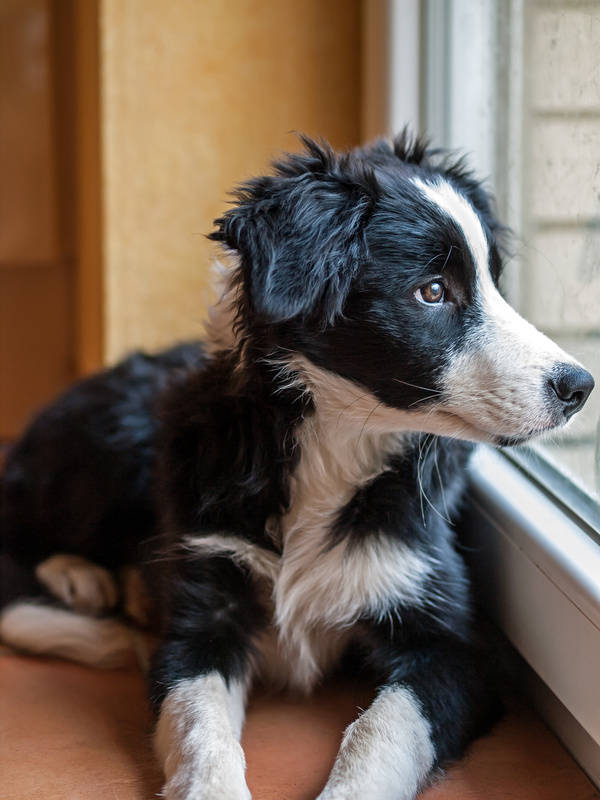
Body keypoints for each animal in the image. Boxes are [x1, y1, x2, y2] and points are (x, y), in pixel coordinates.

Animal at [0, 136, 596, 800]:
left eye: (494, 282)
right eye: (433, 291)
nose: (580, 386)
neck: (334, 444)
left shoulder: (456, 644)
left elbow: (382, 730)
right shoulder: (205, 607)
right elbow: (199, 727)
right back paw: (83, 579)